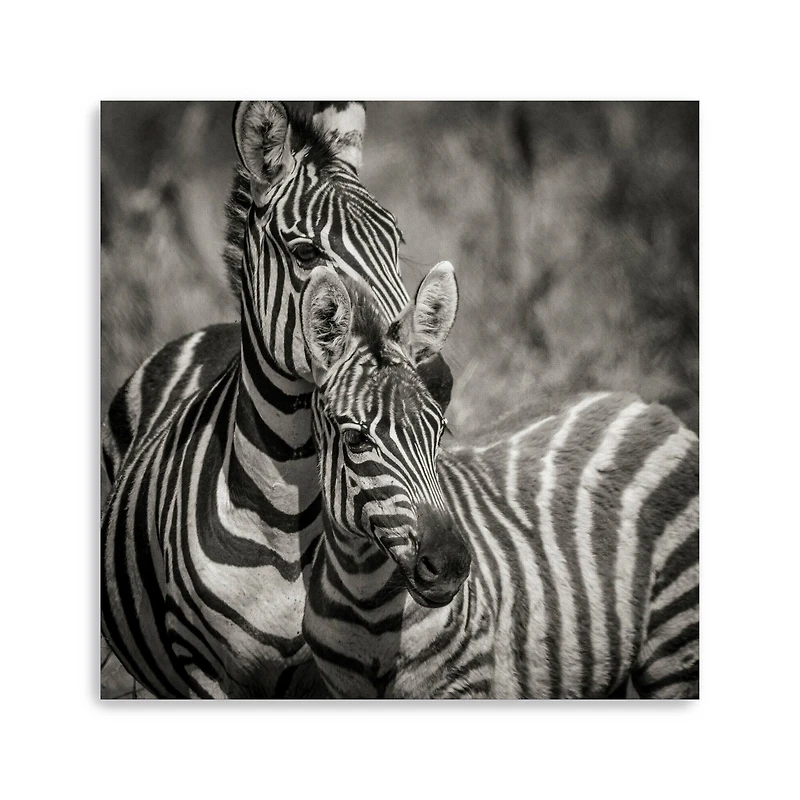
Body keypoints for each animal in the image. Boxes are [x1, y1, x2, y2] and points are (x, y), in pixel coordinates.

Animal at [300, 262, 700, 699]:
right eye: (355, 439)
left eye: (440, 432)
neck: (366, 600)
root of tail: (644, 403)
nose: (451, 565)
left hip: (676, 638)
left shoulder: (463, 685)